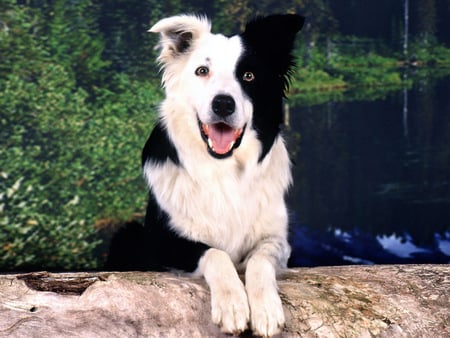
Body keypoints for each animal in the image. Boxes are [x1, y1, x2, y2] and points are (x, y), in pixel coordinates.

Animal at [107, 13, 304, 338]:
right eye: (202, 71)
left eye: (248, 76)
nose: (223, 103)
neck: (223, 169)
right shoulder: (164, 243)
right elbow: (214, 253)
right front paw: (233, 305)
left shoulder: (277, 240)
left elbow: (259, 260)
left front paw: (265, 308)